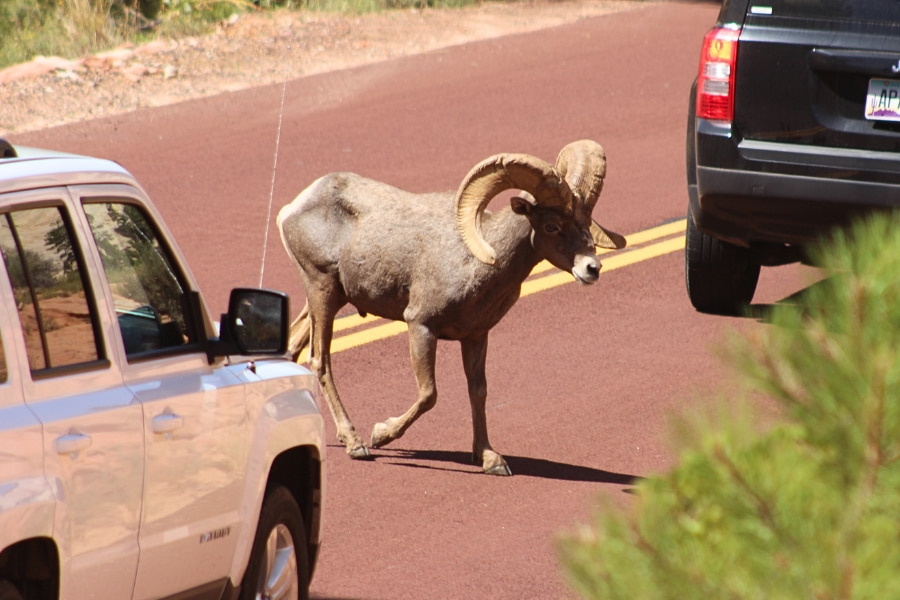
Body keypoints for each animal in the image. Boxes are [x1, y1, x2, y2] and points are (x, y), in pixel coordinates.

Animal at [277, 140, 624, 475]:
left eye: (585, 221)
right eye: (551, 226)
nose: (592, 269)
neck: (478, 261)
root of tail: (292, 209)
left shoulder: (476, 337)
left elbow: (478, 392)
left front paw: (490, 459)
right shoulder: (420, 326)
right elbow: (429, 394)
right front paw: (381, 434)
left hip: (330, 299)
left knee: (294, 347)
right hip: (322, 290)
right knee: (320, 361)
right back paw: (356, 443)